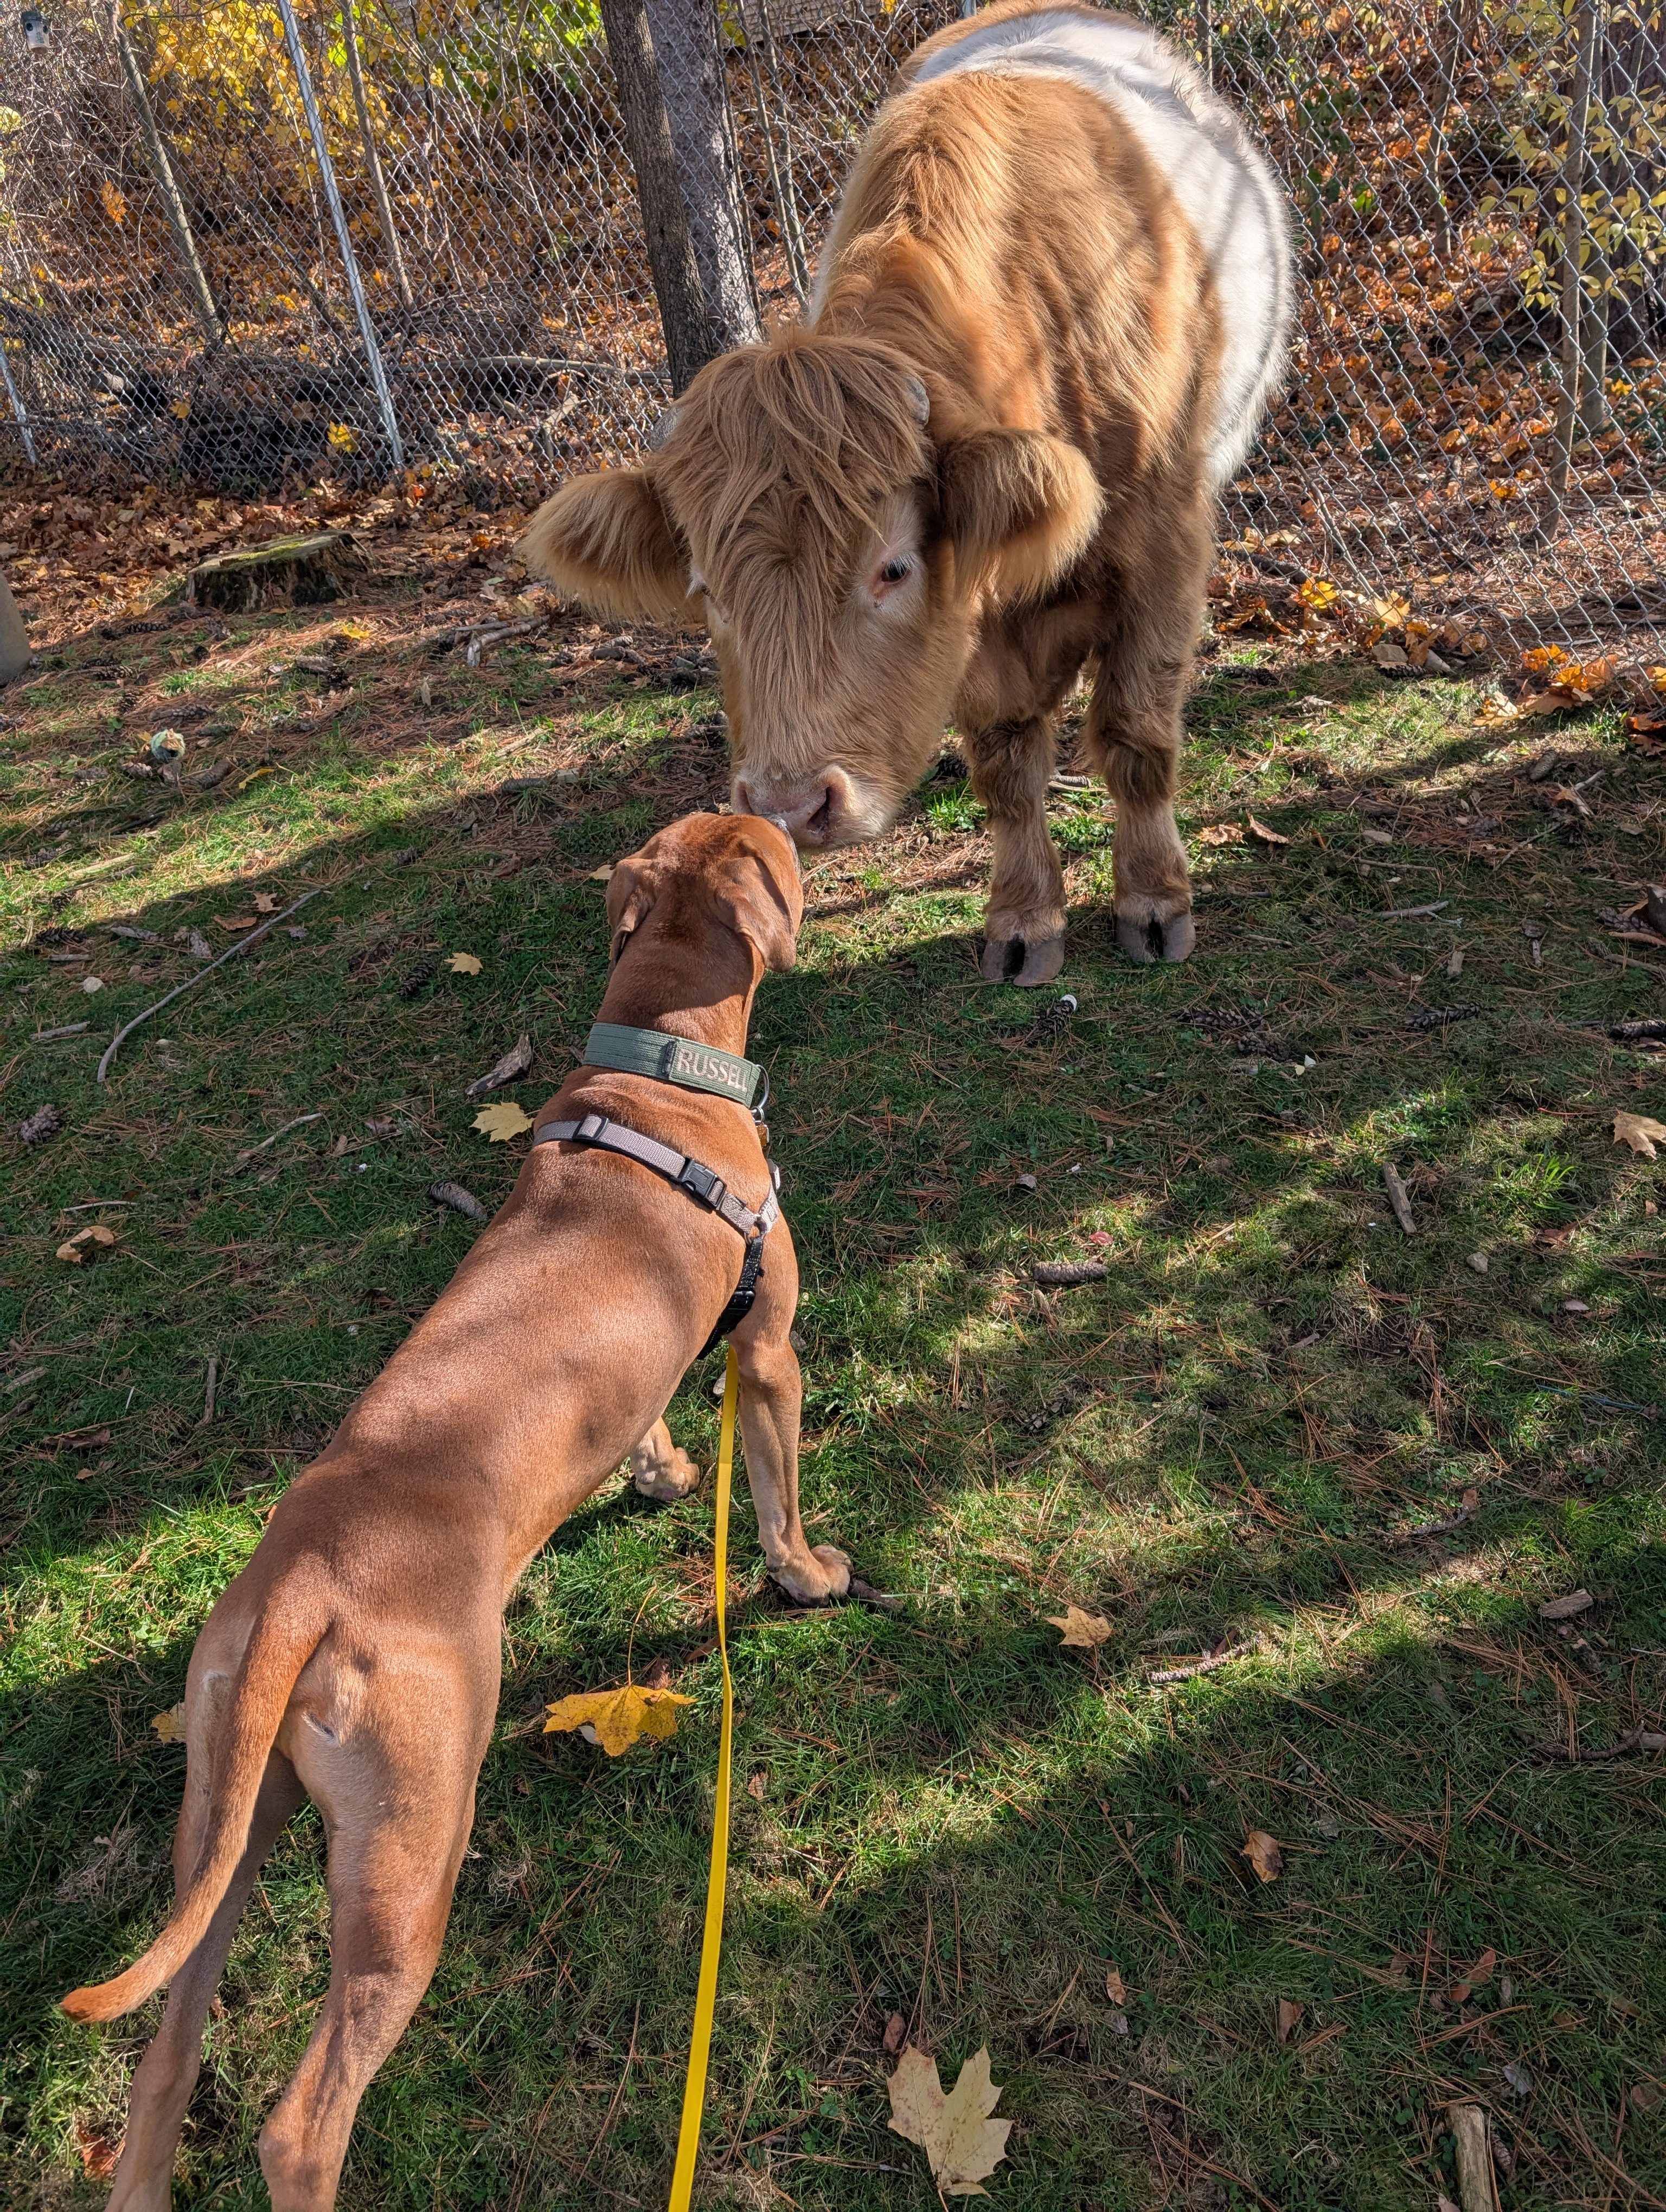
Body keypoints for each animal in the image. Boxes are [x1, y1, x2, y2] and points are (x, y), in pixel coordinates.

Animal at [522, 0, 1292, 983]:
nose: (789, 804)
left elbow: (1135, 734)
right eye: (706, 591)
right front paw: (1023, 918)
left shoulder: (1165, 546)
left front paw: (1154, 902)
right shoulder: (975, 622)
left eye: (892, 569)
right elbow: (1007, 766)